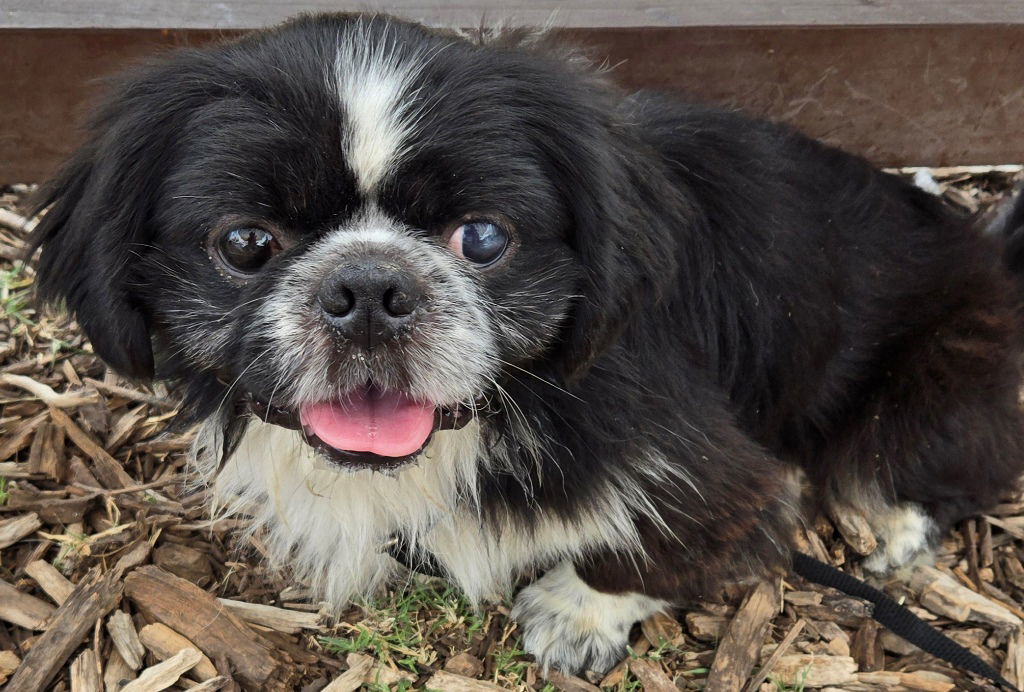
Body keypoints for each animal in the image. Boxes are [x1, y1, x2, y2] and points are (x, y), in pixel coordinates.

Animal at [28, 13, 1024, 675]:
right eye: (244, 243)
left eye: (484, 238)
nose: (368, 290)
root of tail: (989, 252)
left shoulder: (718, 477)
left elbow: (660, 545)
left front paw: (579, 612)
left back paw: (889, 522)